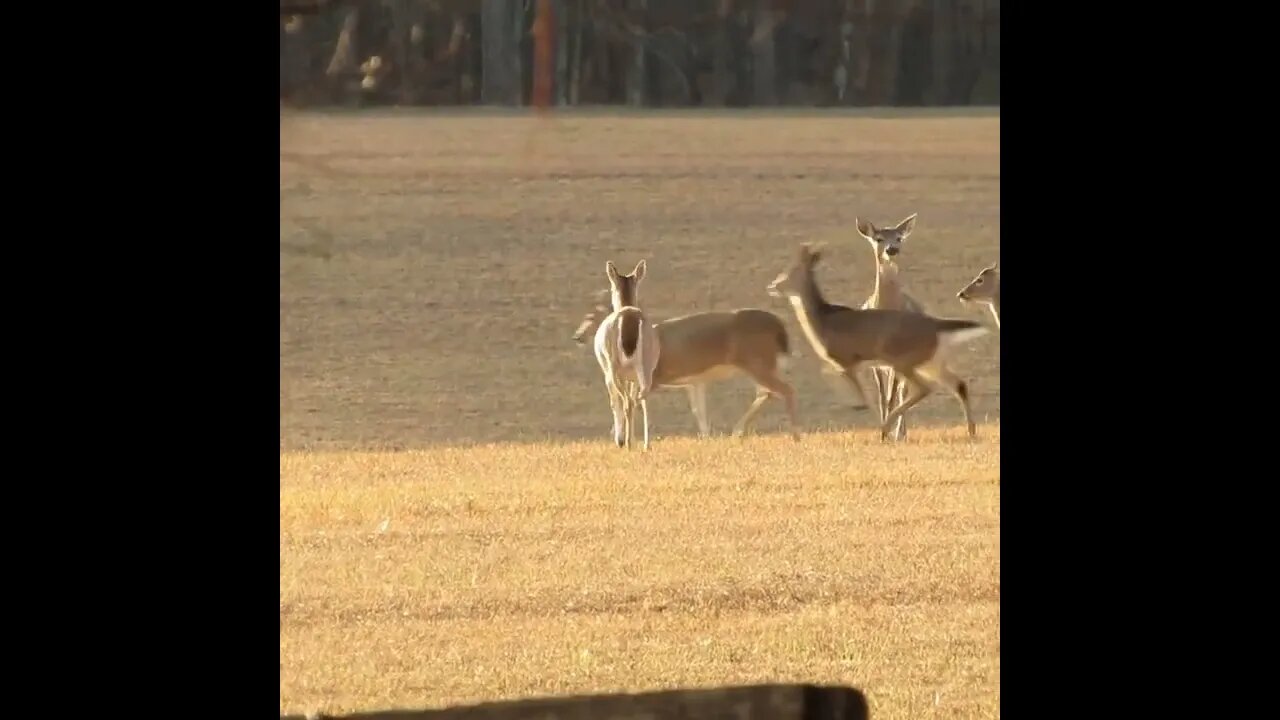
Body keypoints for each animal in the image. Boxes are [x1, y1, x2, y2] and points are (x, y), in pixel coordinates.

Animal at [573, 292, 801, 442]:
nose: (578, 336)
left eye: (592, 315)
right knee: (767, 392)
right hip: (763, 363)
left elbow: (633, 403)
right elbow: (699, 411)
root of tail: (779, 327)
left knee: (784, 390)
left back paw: (794, 435)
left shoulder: (657, 378)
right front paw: (707, 438)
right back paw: (738, 431)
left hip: (756, 362)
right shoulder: (694, 380)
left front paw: (619, 437)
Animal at [592, 260, 661, 450]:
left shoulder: (609, 374)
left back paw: (627, 443)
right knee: (642, 398)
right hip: (645, 367)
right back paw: (645, 444)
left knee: (627, 402)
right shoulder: (633, 378)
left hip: (614, 367)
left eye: (611, 288)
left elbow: (614, 402)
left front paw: (621, 440)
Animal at [766, 243, 989, 440]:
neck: (823, 323)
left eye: (790, 271)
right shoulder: (848, 363)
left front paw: (873, 421)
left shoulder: (846, 359)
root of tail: (936, 327)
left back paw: (887, 427)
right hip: (931, 361)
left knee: (924, 387)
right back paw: (971, 430)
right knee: (958, 384)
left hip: (904, 360)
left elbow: (863, 394)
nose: (773, 285)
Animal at [855, 213, 927, 442]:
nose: (892, 249)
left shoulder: (898, 357)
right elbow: (882, 397)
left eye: (899, 238)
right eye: (878, 238)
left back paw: (900, 433)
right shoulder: (874, 361)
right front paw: (882, 433)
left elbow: (892, 396)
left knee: (905, 391)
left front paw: (887, 433)